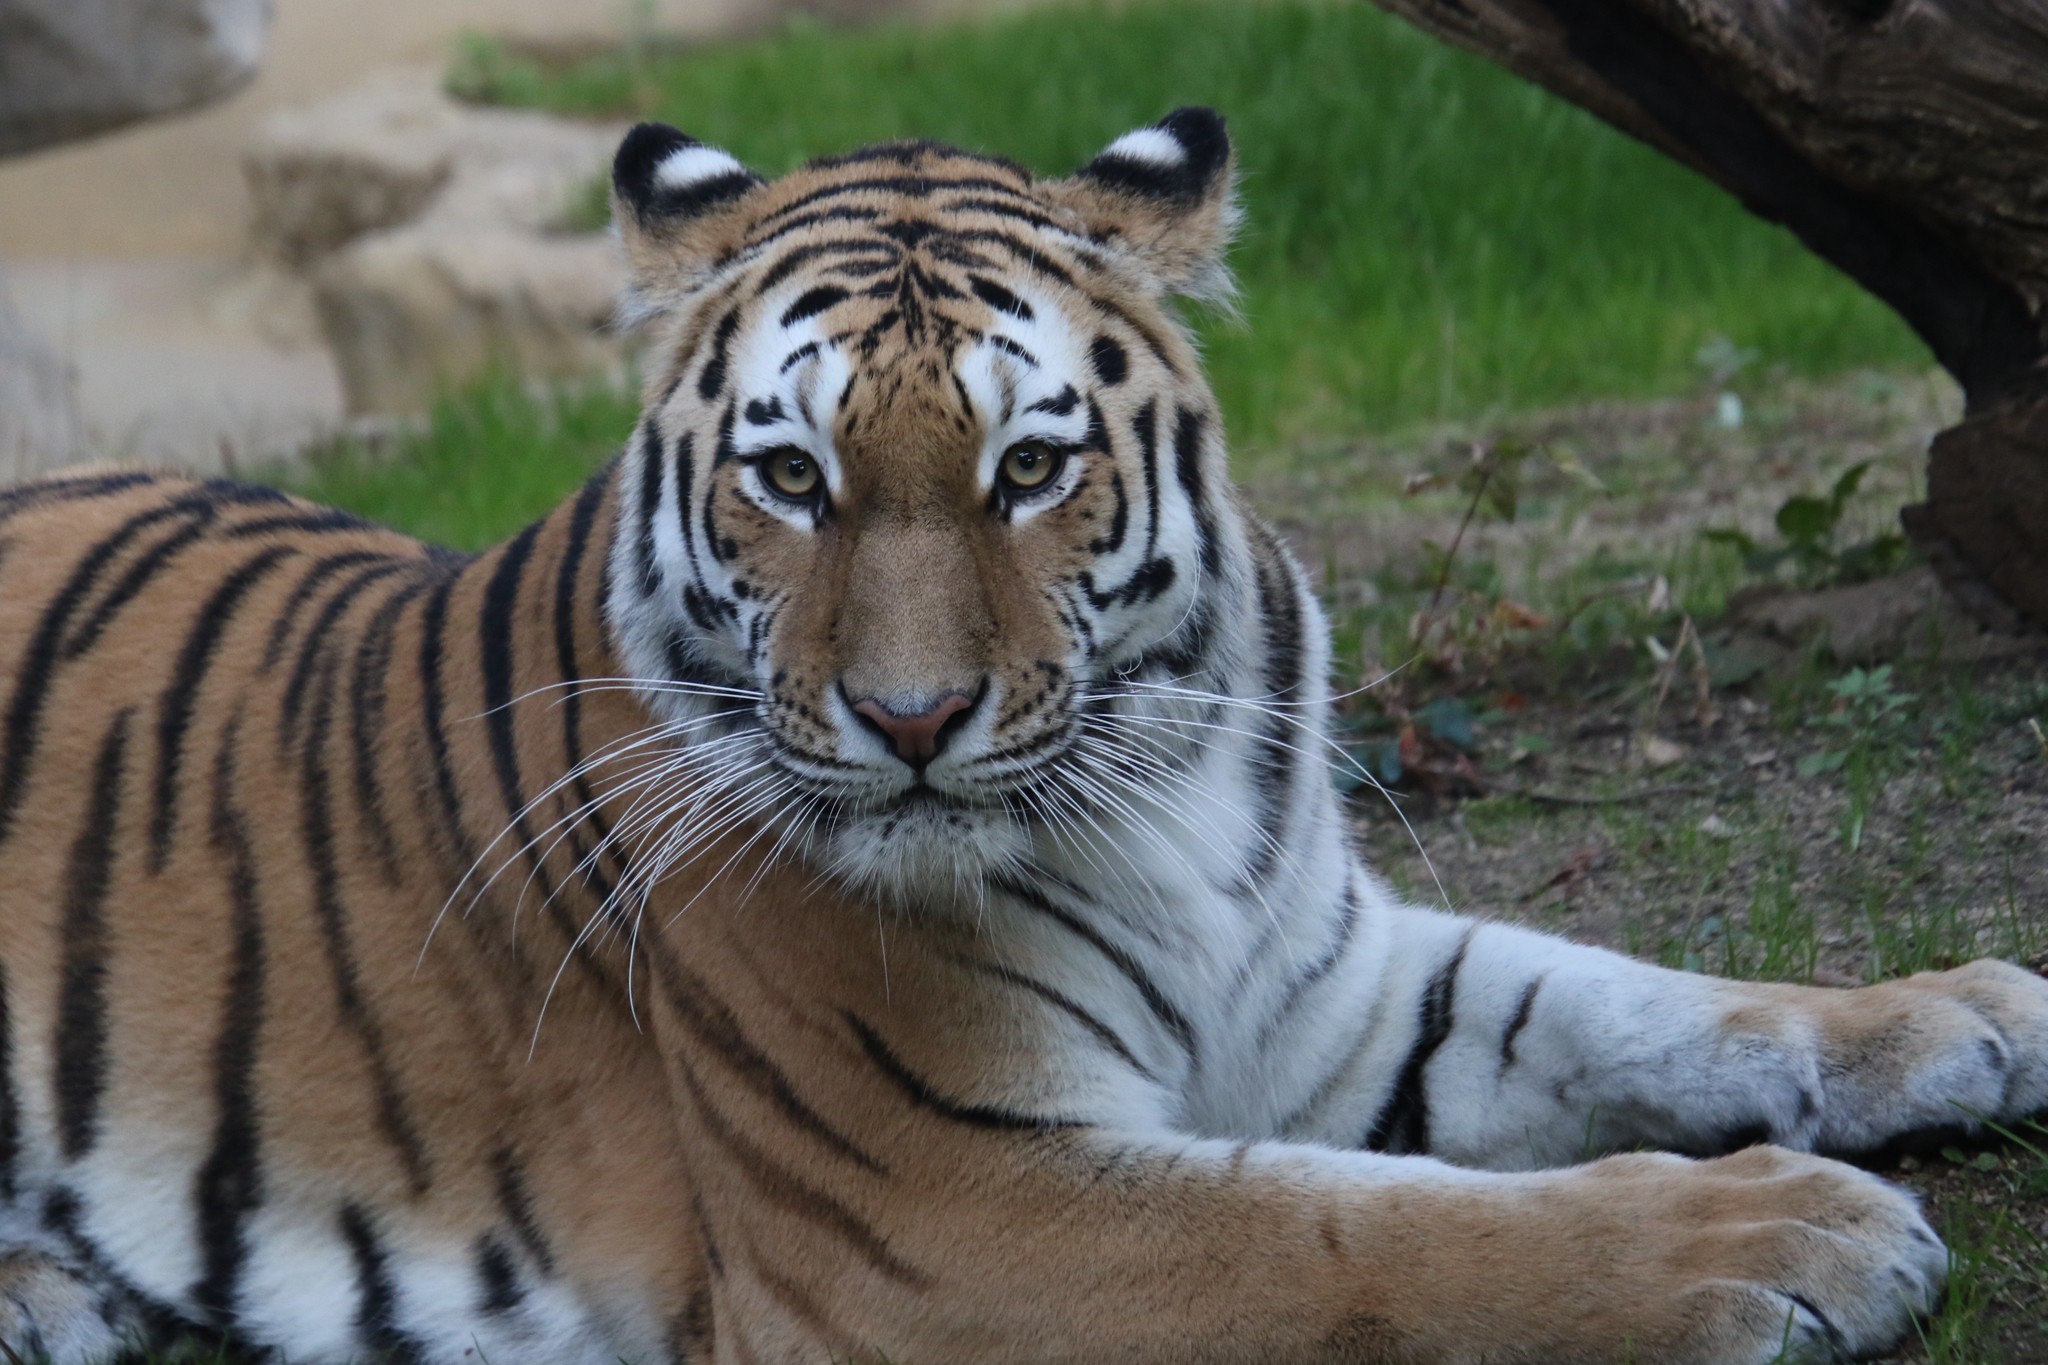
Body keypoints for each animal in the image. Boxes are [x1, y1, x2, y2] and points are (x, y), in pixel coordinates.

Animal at [0, 105, 2042, 1365]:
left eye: (1030, 468)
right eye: (792, 481)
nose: (910, 720)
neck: (1157, 797)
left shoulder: (1325, 994)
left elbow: (1626, 995)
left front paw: (1957, 1012)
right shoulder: (948, 1205)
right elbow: (1374, 1234)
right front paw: (1781, 1239)